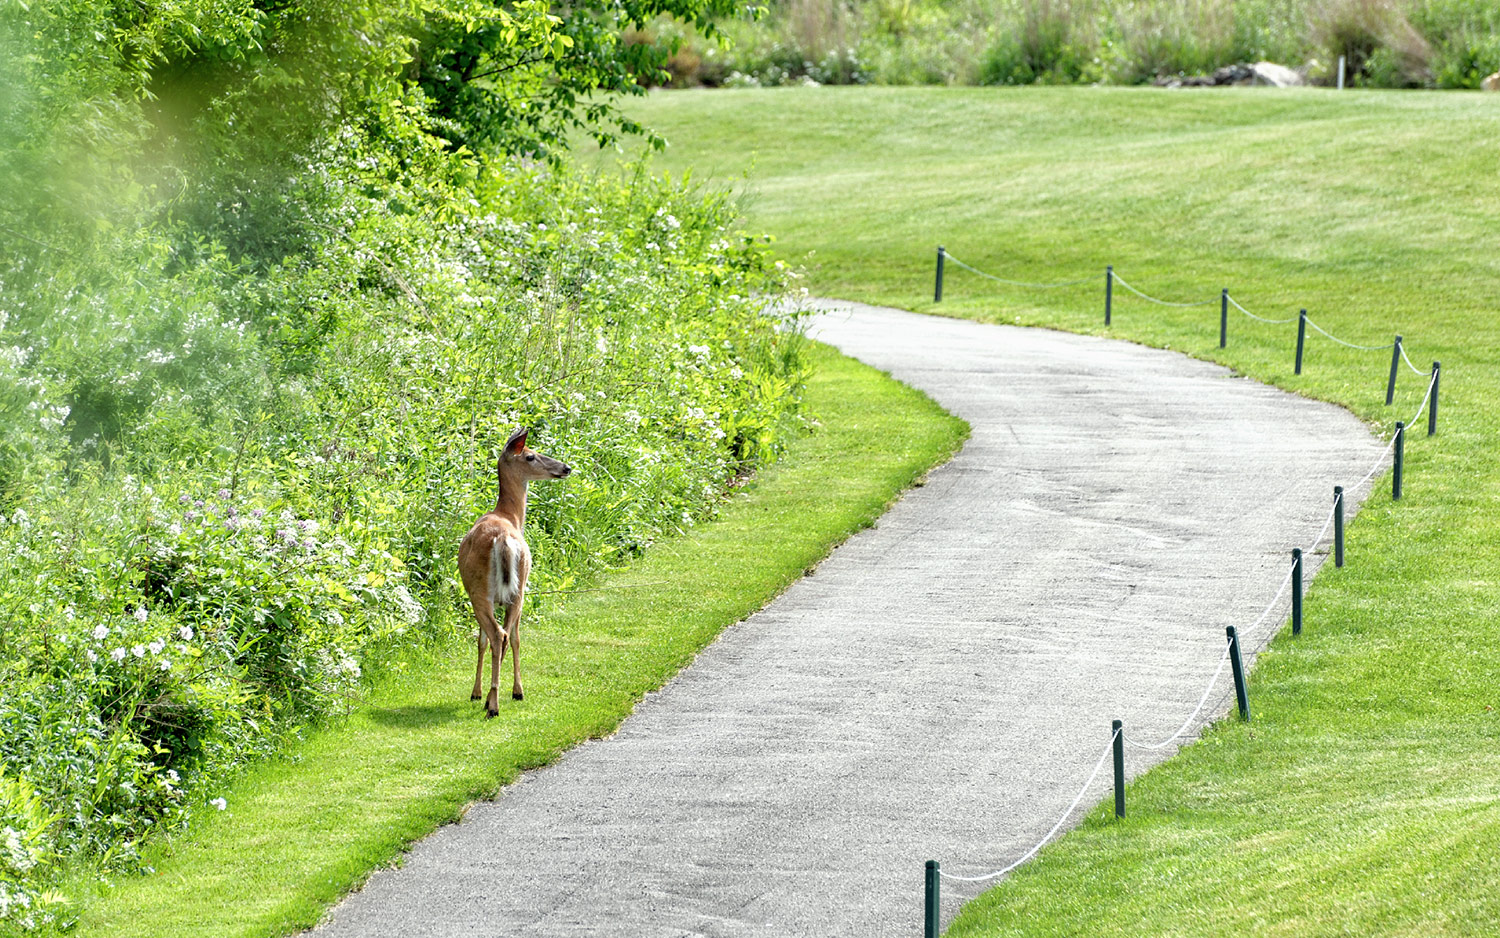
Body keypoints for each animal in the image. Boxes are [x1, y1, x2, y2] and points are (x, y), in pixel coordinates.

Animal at [453, 426, 570, 717]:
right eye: (530, 456)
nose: (566, 468)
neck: (510, 516)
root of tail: (504, 538)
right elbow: (508, 638)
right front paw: (500, 691)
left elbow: (488, 640)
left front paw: (481, 693)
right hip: (510, 588)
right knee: (504, 635)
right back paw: (497, 699)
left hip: (482, 591)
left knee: (499, 635)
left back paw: (493, 703)